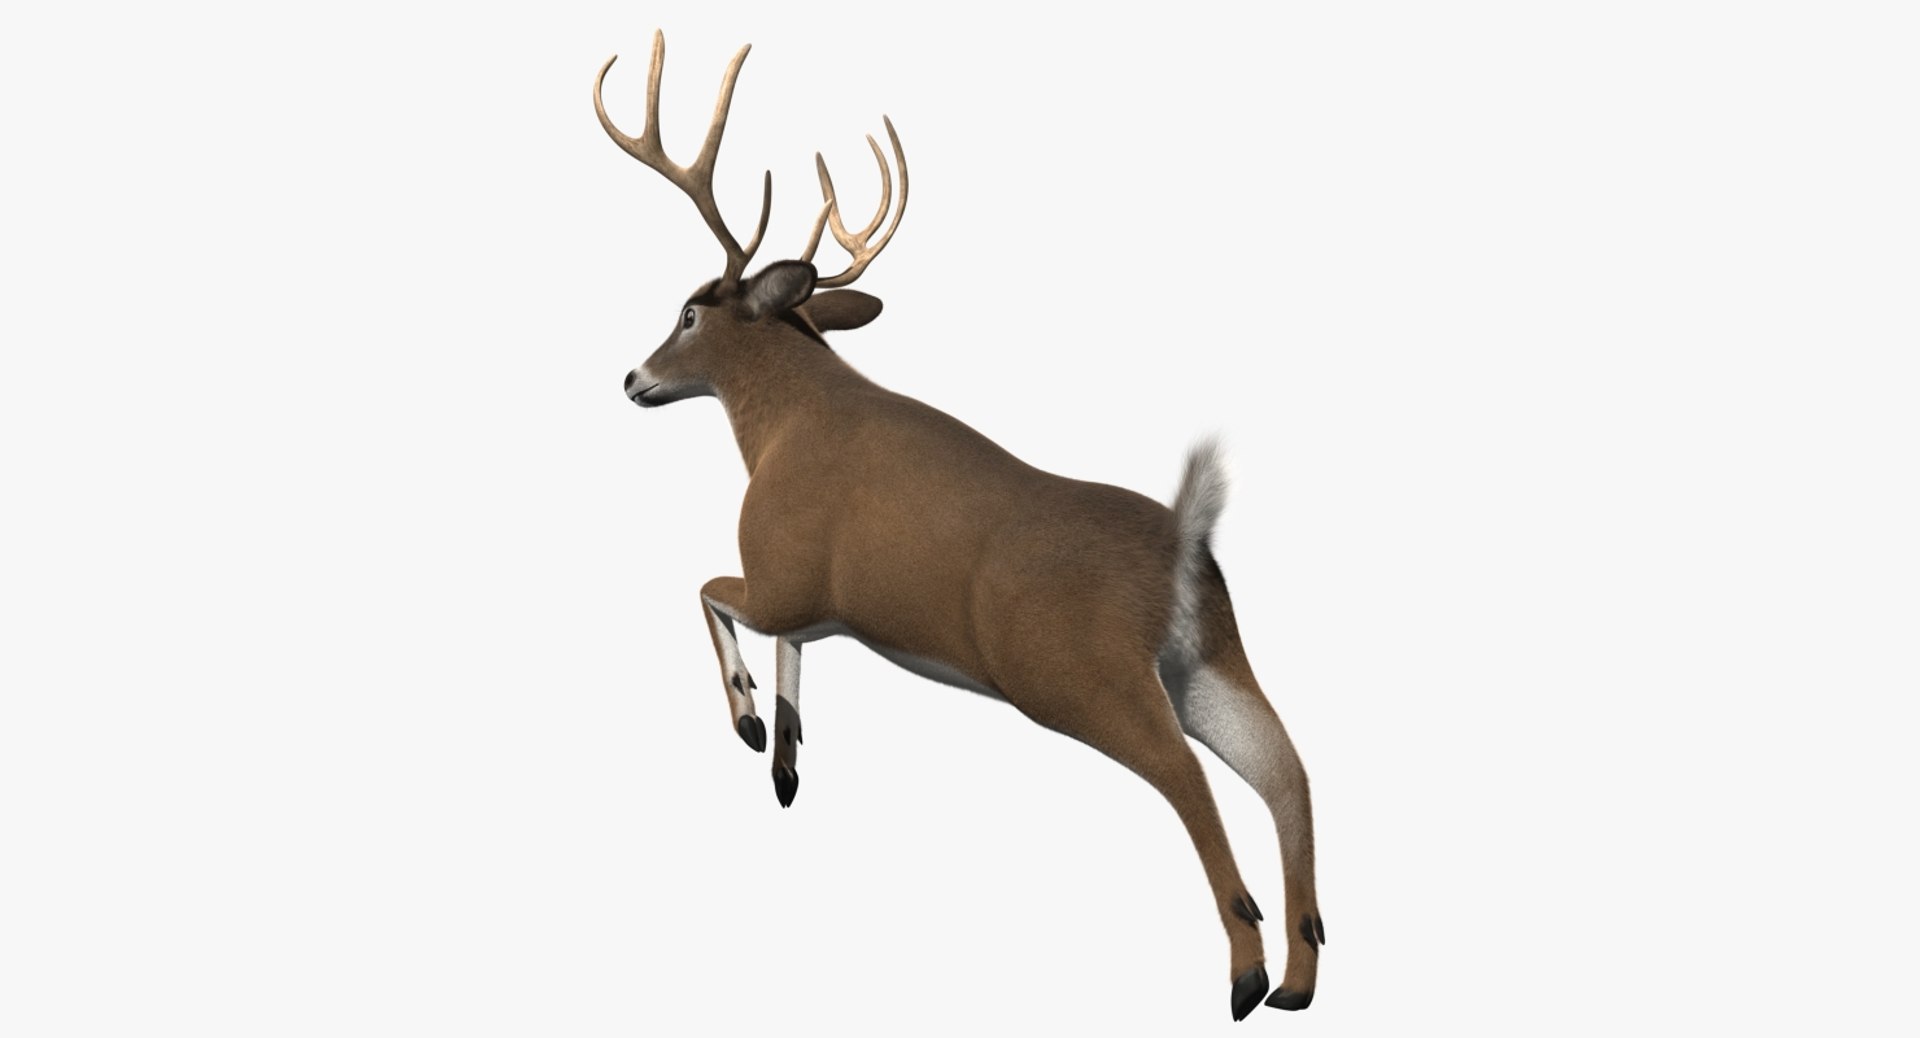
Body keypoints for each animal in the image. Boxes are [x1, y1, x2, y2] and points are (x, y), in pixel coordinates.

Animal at [598, 31, 1324, 1021]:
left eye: (687, 311)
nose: (632, 379)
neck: (781, 426)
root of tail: (1186, 543)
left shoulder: (779, 570)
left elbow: (706, 593)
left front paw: (750, 724)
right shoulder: (810, 600)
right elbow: (788, 645)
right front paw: (786, 759)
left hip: (1078, 676)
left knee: (1190, 778)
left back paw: (1246, 976)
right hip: (1209, 660)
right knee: (1288, 771)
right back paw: (1298, 981)